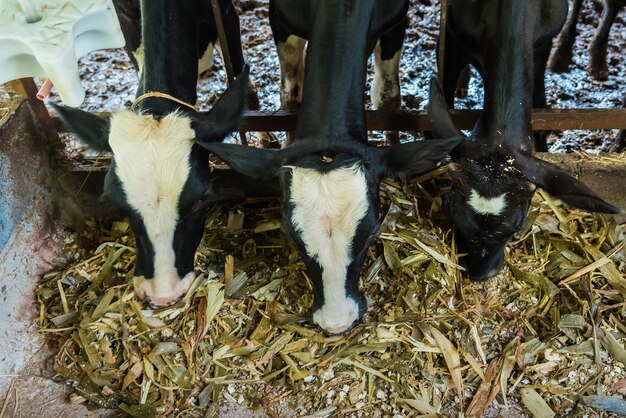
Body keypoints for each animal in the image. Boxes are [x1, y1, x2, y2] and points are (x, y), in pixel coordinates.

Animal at [199, 0, 458, 334]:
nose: (336, 322)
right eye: (288, 232)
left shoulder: (396, 22)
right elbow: (290, 96)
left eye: (373, 231)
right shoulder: (282, 21)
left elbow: (388, 96)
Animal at [426, 0, 616, 284]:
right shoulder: (453, 38)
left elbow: (540, 100)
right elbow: (445, 95)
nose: (481, 274)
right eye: (452, 212)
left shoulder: (542, 45)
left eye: (517, 226)